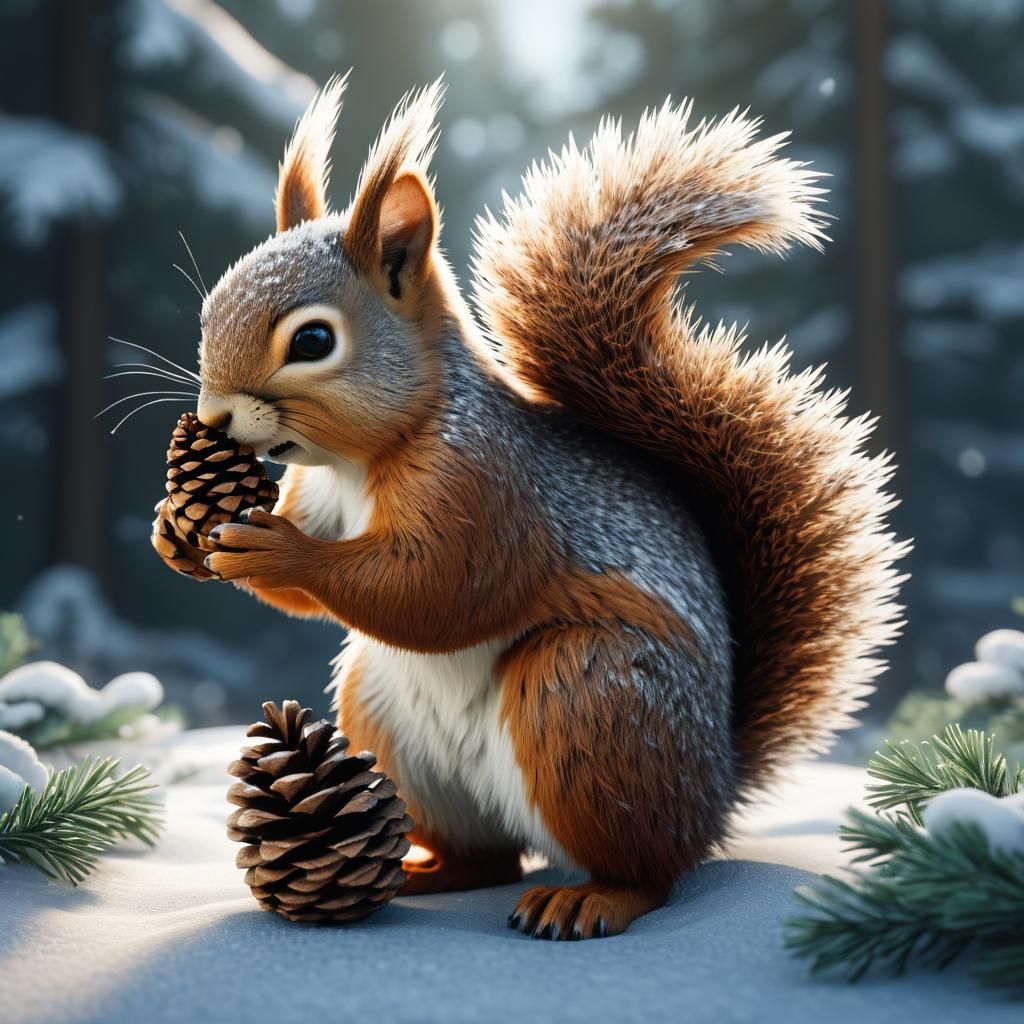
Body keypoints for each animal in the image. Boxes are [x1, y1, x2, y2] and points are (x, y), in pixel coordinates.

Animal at [153, 76, 906, 940]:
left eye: (312, 341)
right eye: (210, 311)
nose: (212, 419)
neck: (359, 463)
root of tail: (715, 789)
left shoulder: (487, 486)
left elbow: (440, 589)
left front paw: (279, 550)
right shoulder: (320, 494)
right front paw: (177, 533)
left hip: (590, 701)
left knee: (650, 869)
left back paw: (591, 897)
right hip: (387, 724)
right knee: (486, 859)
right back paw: (422, 871)